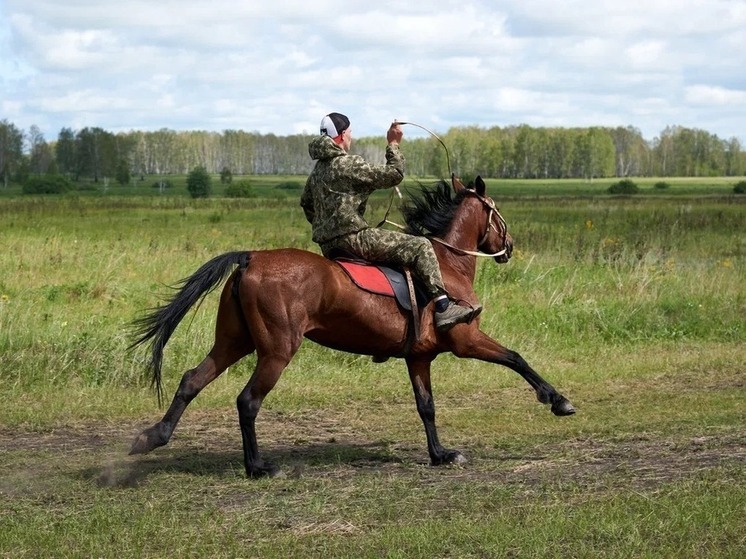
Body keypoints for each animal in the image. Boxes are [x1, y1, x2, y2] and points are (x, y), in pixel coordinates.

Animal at [129, 175, 576, 476]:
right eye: (496, 211)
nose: (509, 247)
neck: (448, 264)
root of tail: (251, 257)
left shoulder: (419, 358)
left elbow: (426, 407)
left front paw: (440, 455)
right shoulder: (466, 341)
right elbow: (516, 358)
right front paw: (557, 400)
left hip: (233, 342)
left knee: (191, 379)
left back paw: (153, 436)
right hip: (275, 351)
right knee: (248, 401)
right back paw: (258, 466)